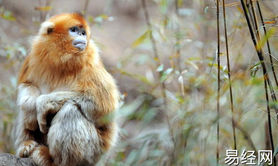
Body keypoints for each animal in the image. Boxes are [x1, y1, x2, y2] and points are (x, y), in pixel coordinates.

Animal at [13, 13, 119, 166]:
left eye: (83, 33)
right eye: (74, 30)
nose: (81, 36)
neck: (62, 59)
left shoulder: (91, 61)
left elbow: (103, 107)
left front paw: (43, 103)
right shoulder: (35, 55)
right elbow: (27, 85)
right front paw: (31, 106)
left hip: (94, 152)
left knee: (71, 110)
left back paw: (51, 160)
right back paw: (27, 145)